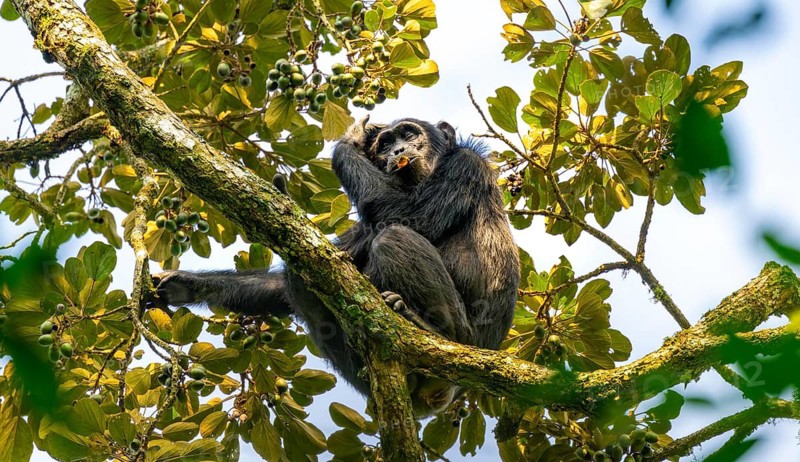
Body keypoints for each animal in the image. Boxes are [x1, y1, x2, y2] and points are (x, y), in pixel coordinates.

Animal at [152, 117, 520, 417]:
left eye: (408, 133)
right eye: (384, 144)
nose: (397, 149)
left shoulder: (464, 166)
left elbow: (408, 216)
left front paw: (350, 139)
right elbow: (317, 268)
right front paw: (186, 284)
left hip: (465, 345)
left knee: (394, 237)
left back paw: (432, 328)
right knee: (302, 286)